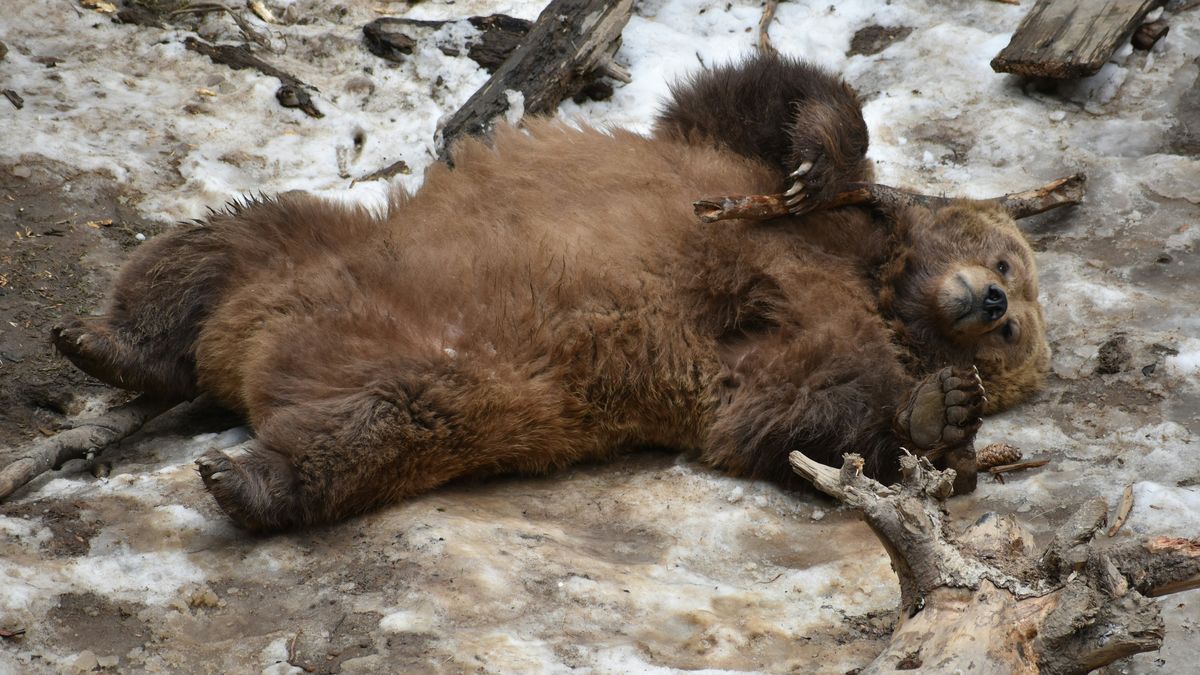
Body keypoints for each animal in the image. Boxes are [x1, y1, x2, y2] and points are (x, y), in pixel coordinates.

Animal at [51, 54, 1049, 531]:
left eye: (1014, 335)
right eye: (1007, 264)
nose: (994, 306)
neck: (877, 280)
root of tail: (252, 360)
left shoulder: (787, 338)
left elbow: (792, 413)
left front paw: (940, 410)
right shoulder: (734, 178)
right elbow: (751, 102)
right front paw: (818, 152)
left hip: (471, 383)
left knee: (376, 425)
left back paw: (244, 476)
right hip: (330, 247)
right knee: (221, 239)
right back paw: (109, 341)